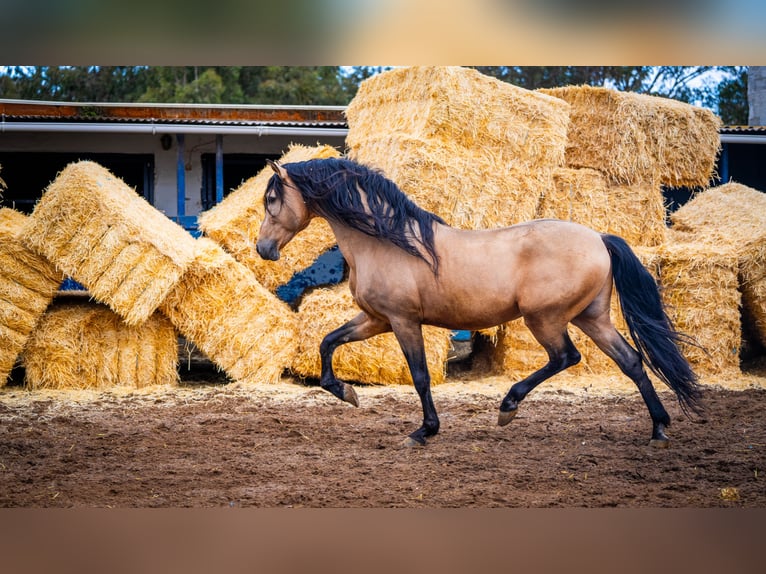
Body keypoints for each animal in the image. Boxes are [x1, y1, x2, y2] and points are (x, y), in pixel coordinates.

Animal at [255, 158, 704, 450]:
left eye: (272, 200)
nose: (263, 250)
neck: (388, 241)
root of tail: (599, 238)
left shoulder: (402, 321)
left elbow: (420, 376)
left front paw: (423, 432)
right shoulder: (375, 319)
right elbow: (328, 342)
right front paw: (346, 392)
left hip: (546, 319)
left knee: (566, 357)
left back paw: (508, 406)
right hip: (592, 317)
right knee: (631, 361)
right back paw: (659, 429)